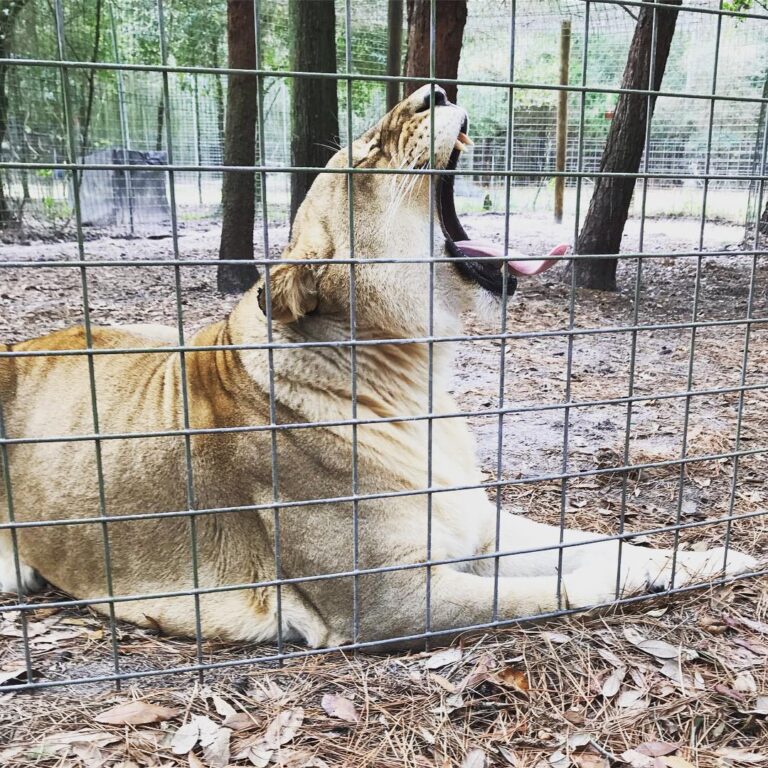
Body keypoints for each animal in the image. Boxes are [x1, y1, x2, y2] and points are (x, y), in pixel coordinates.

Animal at [0, 86, 756, 648]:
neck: (418, 380)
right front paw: (633, 585)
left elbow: (602, 541)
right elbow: (543, 591)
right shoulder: (386, 601)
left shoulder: (476, 525)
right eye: (368, 152)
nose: (438, 90)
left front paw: (707, 558)